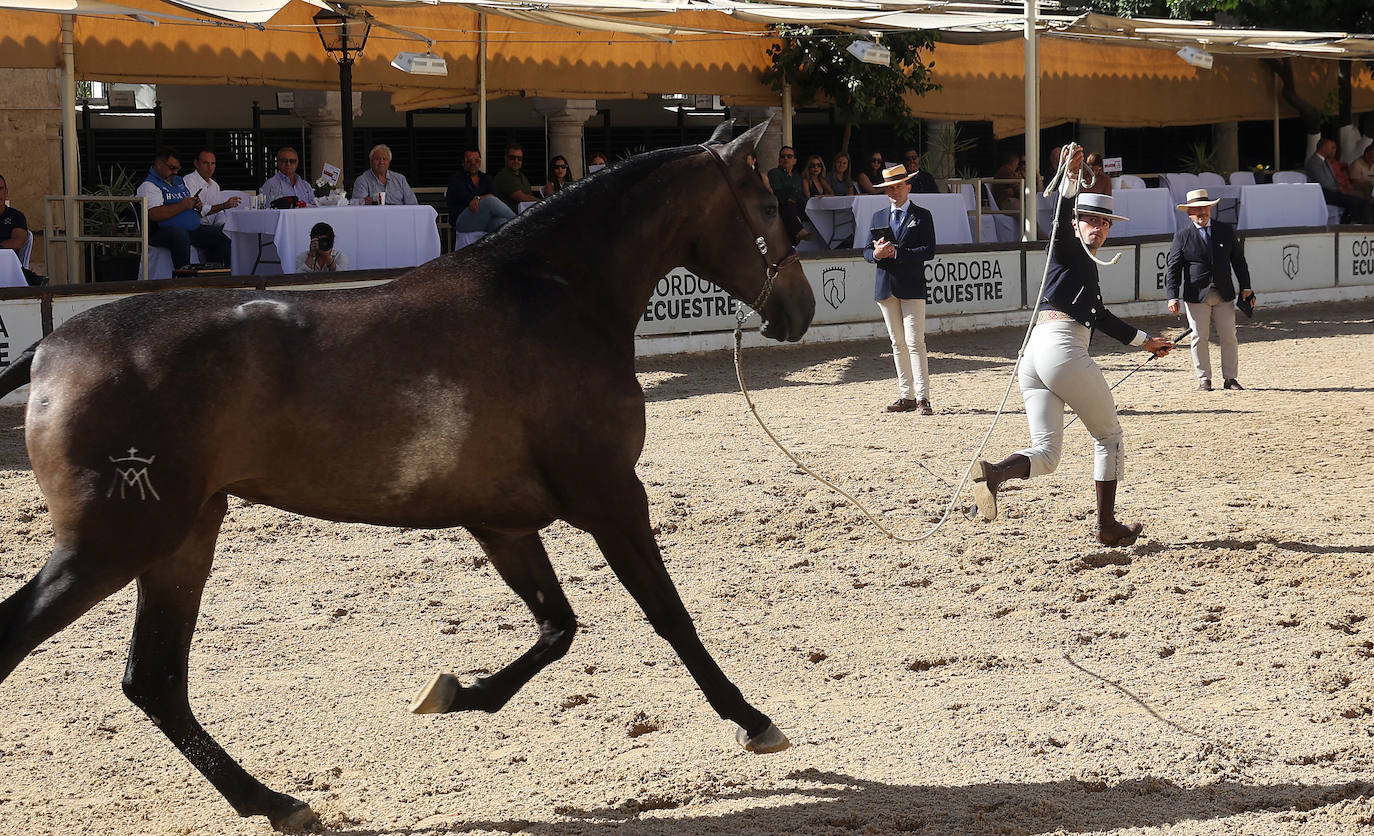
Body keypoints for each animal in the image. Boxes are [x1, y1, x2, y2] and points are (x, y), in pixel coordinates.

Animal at [0, 120, 814, 832]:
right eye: (768, 206)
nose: (800, 310)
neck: (554, 296)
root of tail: (51, 350)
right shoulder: (612, 497)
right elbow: (668, 616)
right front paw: (754, 721)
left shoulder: (503, 521)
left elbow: (558, 627)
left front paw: (454, 694)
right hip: (114, 544)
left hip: (181, 540)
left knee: (156, 681)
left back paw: (275, 803)